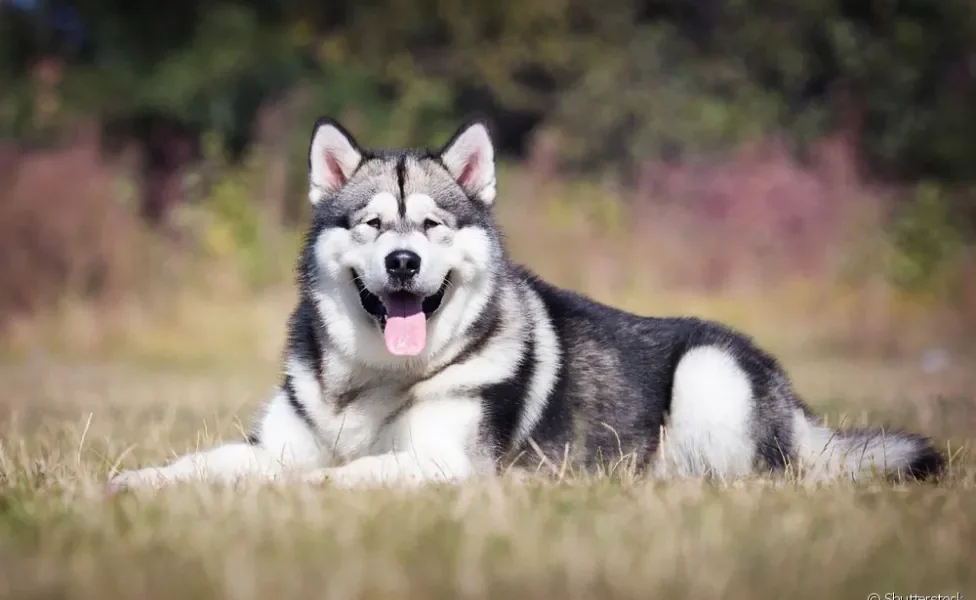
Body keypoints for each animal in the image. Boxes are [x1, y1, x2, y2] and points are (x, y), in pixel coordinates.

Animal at [107, 115, 944, 490]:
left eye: (433, 226)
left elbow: (331, 478)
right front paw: (130, 487)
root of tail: (797, 406)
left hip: (709, 375)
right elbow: (198, 465)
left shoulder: (443, 462)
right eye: (372, 224)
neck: (373, 381)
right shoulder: (275, 443)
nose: (403, 262)